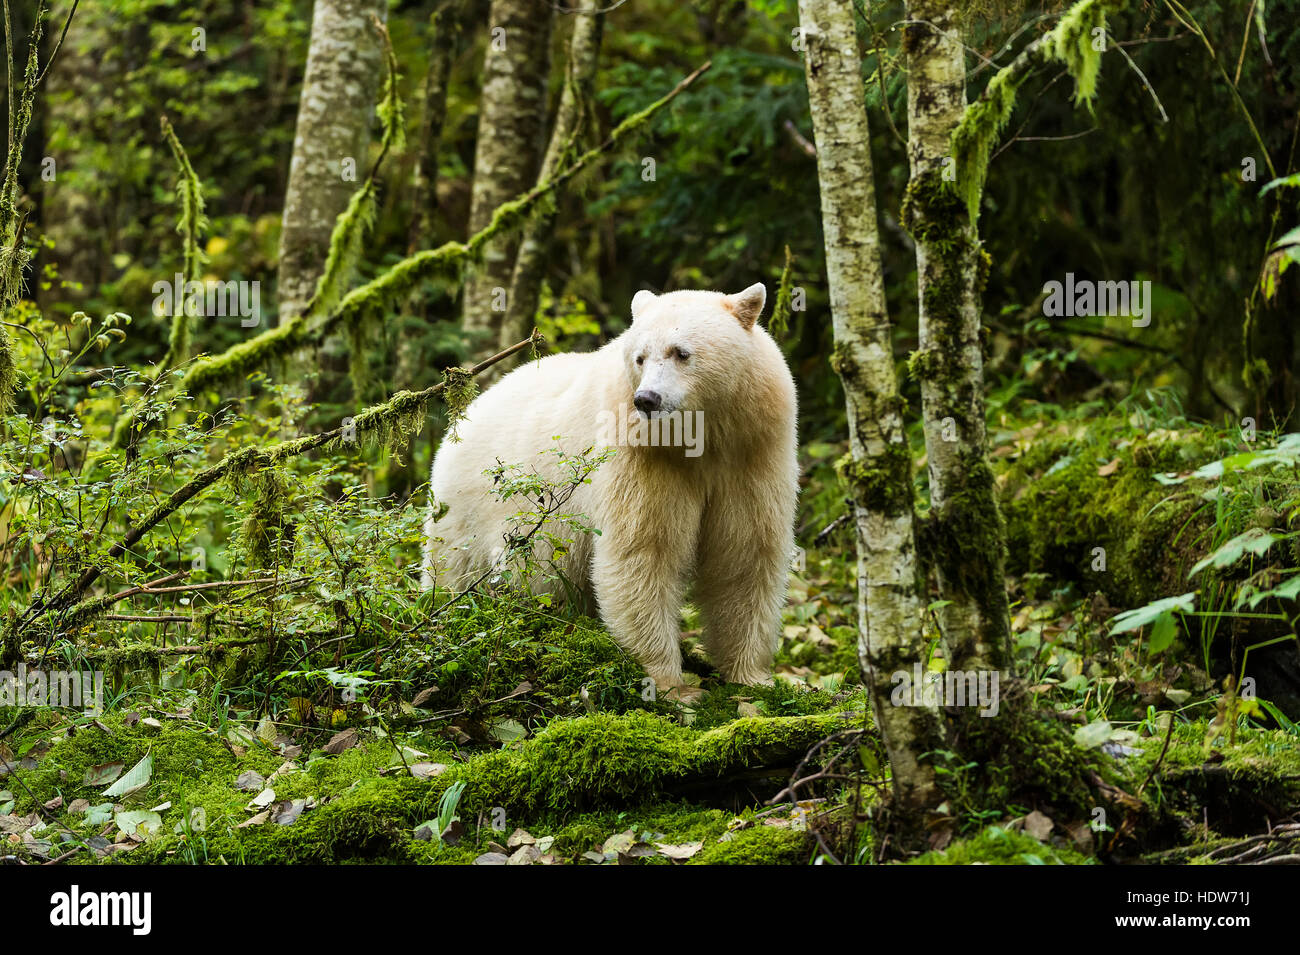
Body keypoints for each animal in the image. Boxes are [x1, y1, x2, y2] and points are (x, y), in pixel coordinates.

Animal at [421, 283, 795, 696]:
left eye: (681, 352)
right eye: (640, 358)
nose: (647, 399)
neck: (701, 439)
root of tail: (467, 411)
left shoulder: (750, 453)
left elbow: (745, 552)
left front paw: (753, 678)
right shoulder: (639, 456)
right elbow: (643, 552)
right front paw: (672, 684)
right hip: (467, 506)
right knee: (456, 568)